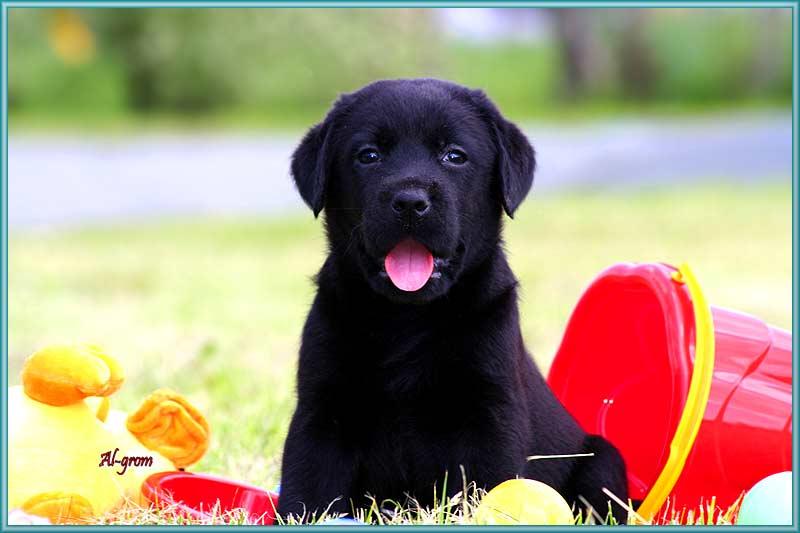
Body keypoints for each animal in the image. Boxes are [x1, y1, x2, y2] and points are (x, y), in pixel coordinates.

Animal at [278, 79, 628, 524]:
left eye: (454, 156)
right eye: (368, 155)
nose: (411, 202)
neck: (405, 318)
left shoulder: (489, 415)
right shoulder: (322, 412)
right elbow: (306, 489)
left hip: (603, 459)